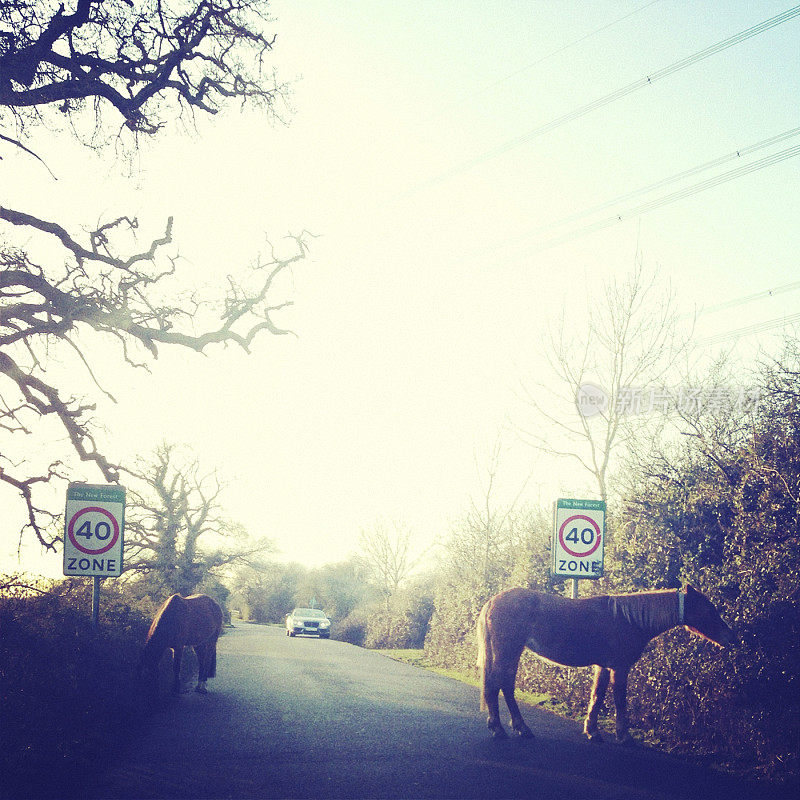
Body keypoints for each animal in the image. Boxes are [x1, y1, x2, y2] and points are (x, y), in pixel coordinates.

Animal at [478, 580, 736, 744]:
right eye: (708, 610)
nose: (731, 637)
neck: (629, 619)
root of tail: (492, 601)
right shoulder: (620, 668)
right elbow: (619, 700)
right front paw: (624, 736)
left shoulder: (603, 666)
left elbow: (597, 696)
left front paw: (592, 731)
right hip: (509, 650)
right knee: (500, 685)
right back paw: (507, 728)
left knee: (500, 685)